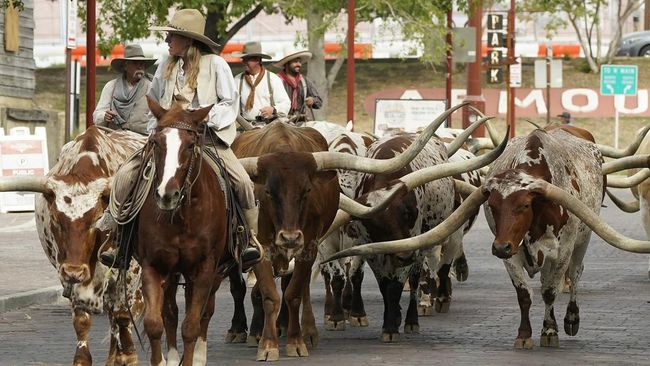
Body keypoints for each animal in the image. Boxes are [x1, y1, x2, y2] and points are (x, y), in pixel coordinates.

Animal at [135, 98, 229, 366]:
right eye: (156, 142)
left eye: (189, 145)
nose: (167, 194)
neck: (181, 218)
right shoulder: (153, 266)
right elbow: (156, 322)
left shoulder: (205, 269)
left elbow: (191, 326)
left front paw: (191, 358)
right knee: (172, 312)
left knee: (204, 313)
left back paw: (198, 356)